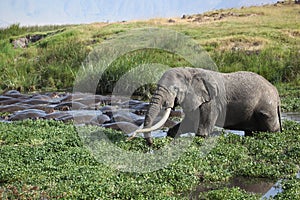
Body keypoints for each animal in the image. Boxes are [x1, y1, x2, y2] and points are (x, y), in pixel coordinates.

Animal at [135, 67, 282, 145]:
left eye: (175, 89)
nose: (152, 144)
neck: (190, 72)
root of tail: (277, 94)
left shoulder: (211, 102)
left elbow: (202, 130)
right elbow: (188, 123)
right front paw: (170, 136)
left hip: (266, 107)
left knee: (271, 128)